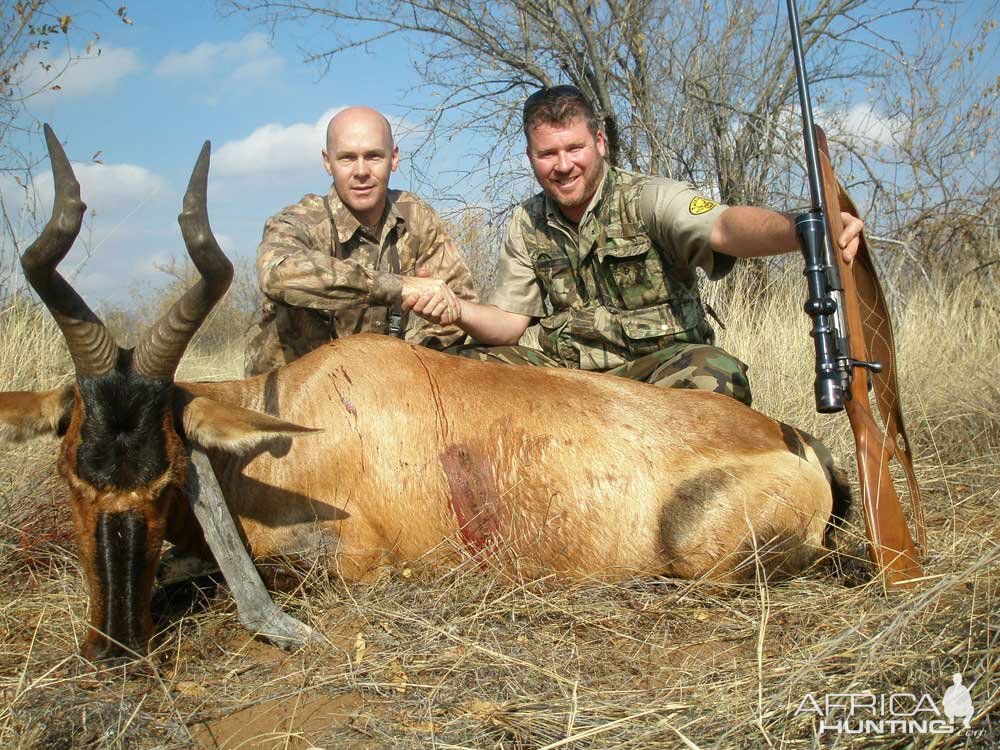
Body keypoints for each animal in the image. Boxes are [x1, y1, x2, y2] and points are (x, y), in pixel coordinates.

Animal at [0, 128, 848, 664]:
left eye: (169, 473)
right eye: (71, 471)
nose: (112, 648)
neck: (299, 420)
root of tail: (789, 438)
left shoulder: (355, 561)